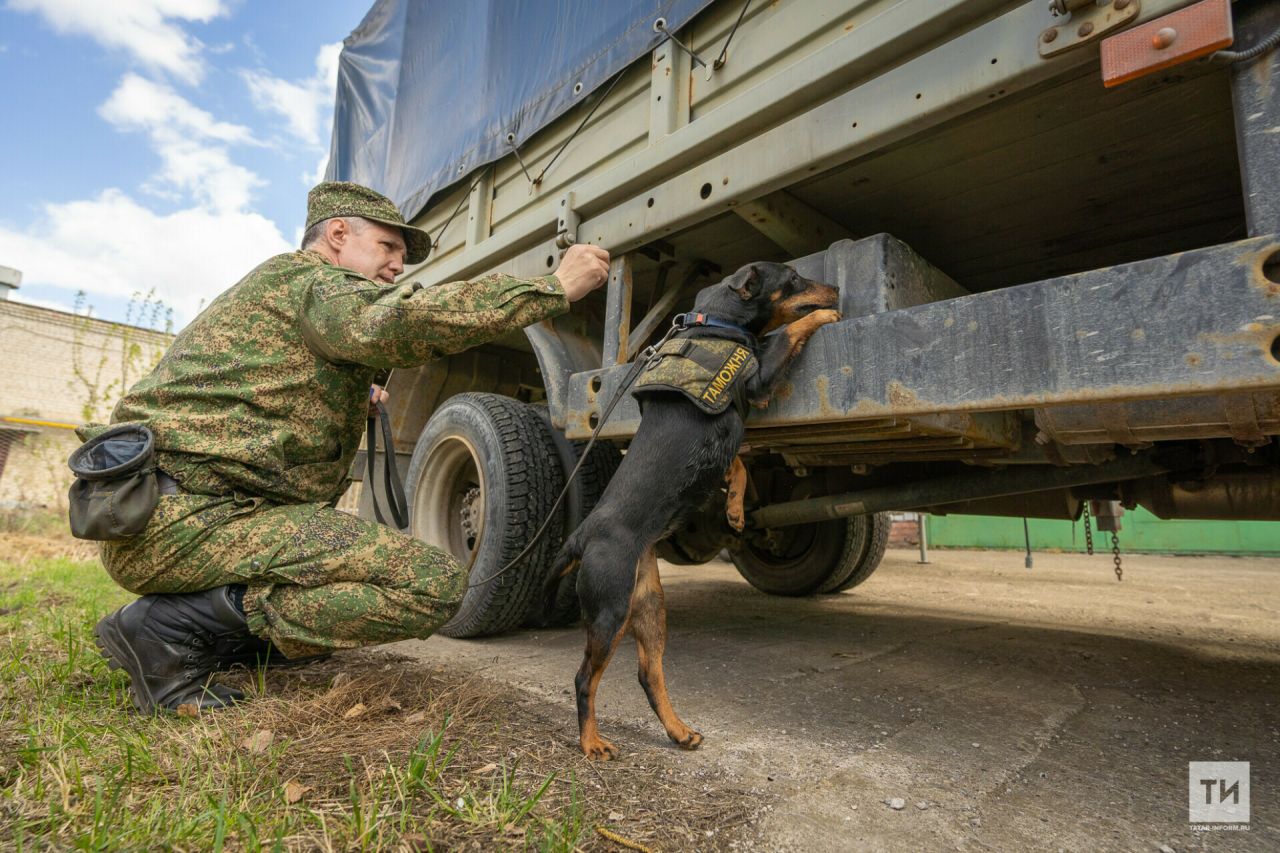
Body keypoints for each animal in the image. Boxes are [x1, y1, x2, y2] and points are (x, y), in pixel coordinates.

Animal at [545, 261, 844, 758]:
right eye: (794, 278)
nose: (837, 288)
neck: (717, 323)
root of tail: (580, 538)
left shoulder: (729, 432)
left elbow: (738, 465)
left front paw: (737, 511)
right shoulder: (758, 381)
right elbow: (790, 331)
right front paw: (826, 317)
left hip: (648, 608)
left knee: (649, 673)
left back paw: (679, 730)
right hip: (609, 611)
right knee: (585, 678)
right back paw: (592, 743)